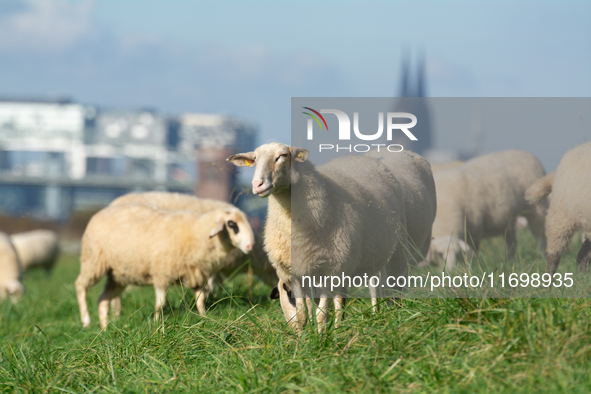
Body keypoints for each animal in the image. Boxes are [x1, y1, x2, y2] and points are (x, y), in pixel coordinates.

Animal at [74, 205, 254, 328]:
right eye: (231, 224)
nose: (250, 246)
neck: (198, 233)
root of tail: (100, 212)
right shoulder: (162, 274)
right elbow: (159, 305)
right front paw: (156, 324)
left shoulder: (197, 275)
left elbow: (200, 301)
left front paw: (204, 318)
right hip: (93, 261)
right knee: (80, 285)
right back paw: (86, 321)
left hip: (118, 274)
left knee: (103, 299)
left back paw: (105, 328)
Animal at [229, 143, 438, 330]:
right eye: (254, 159)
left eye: (282, 156)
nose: (257, 185)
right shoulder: (299, 271)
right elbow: (308, 312)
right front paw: (310, 337)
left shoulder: (333, 268)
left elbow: (322, 314)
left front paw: (323, 338)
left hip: (397, 253)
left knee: (392, 289)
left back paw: (391, 317)